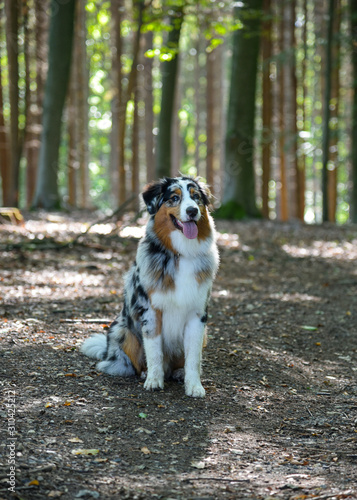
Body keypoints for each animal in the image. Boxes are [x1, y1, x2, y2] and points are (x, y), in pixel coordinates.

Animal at [80, 178, 218, 396]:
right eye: (174, 198)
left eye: (196, 197)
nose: (192, 211)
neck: (181, 254)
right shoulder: (150, 311)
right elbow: (154, 351)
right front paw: (153, 380)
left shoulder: (197, 315)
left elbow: (194, 357)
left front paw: (194, 386)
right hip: (121, 329)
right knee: (131, 363)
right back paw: (144, 372)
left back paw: (178, 373)